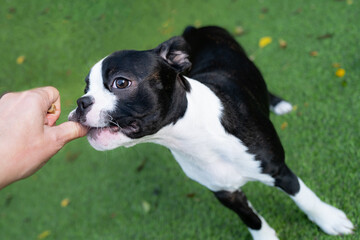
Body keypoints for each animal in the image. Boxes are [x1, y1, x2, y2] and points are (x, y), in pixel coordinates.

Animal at [69, 25, 352, 239]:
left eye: (121, 83)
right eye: (86, 88)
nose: (81, 102)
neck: (194, 134)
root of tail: (194, 29)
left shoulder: (277, 169)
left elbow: (304, 196)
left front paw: (328, 218)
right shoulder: (225, 192)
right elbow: (251, 218)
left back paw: (277, 102)